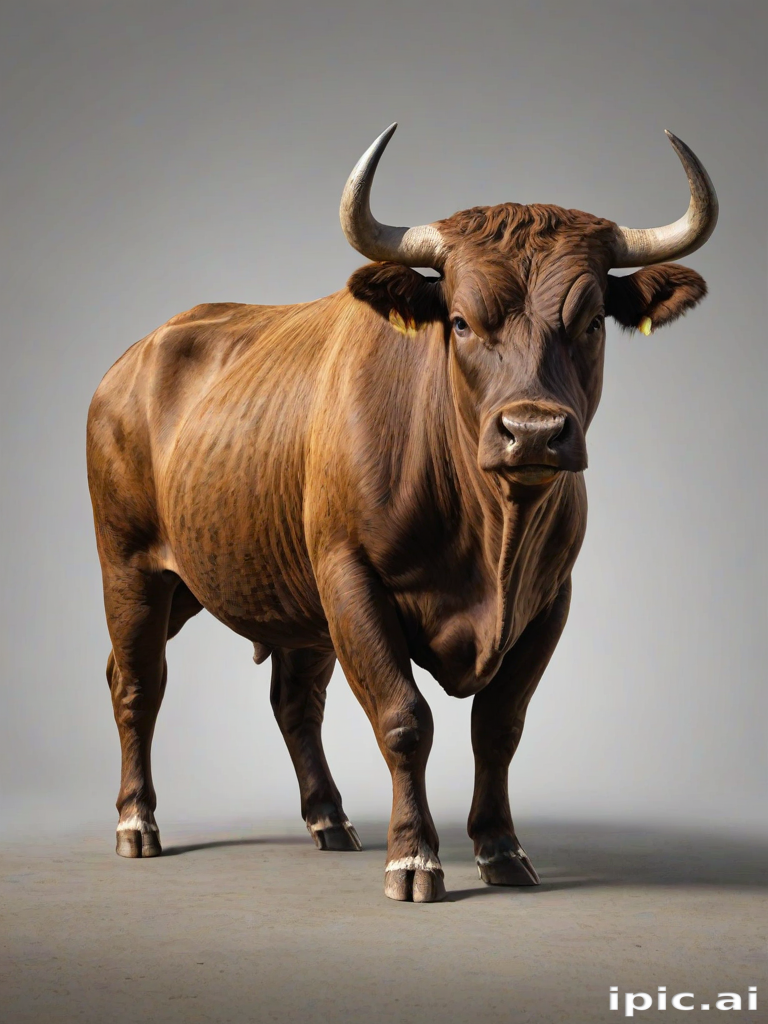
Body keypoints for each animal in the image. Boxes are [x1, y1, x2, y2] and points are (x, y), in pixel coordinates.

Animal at [87, 124, 717, 902]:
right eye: (460, 321)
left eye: (593, 320)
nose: (533, 431)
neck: (489, 539)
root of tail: (140, 352)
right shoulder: (351, 580)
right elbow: (404, 719)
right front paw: (414, 858)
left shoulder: (550, 599)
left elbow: (499, 725)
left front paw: (501, 848)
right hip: (132, 566)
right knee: (137, 682)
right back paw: (136, 822)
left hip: (264, 589)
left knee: (293, 700)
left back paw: (329, 820)